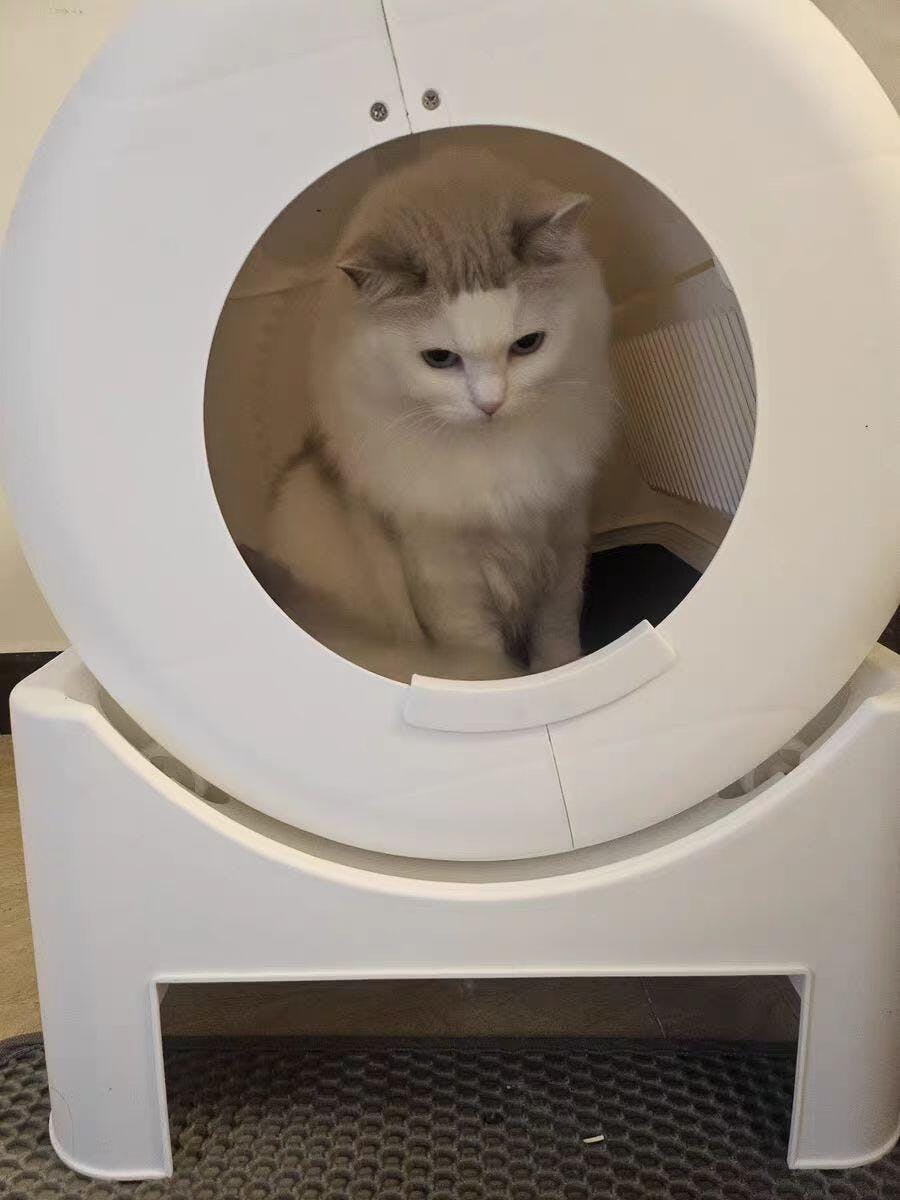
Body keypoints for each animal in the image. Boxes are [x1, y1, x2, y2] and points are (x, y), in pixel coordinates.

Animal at [258, 148, 614, 682]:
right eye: (440, 359)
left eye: (528, 345)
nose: (491, 404)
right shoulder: (445, 576)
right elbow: (479, 656)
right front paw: (500, 687)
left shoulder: (564, 539)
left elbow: (556, 640)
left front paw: (559, 677)